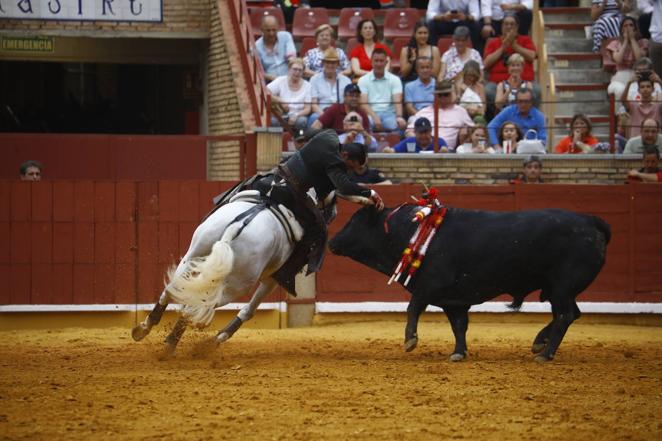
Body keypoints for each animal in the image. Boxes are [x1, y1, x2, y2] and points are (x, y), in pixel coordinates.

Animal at [132, 191, 304, 356]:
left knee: (173, 289)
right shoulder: (273, 279)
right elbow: (249, 310)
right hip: (238, 285)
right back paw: (172, 344)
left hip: (193, 253)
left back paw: (145, 328)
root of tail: (239, 225)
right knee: (196, 304)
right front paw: (217, 339)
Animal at [330, 206, 616, 360]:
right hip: (562, 290)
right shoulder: (452, 300)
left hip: (562, 287)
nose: (332, 242)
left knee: (565, 315)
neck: (412, 232)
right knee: (570, 314)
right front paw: (459, 352)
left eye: (354, 221)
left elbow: (413, 308)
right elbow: (459, 326)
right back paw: (539, 343)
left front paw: (410, 340)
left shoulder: (428, 286)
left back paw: (544, 354)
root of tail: (591, 221)